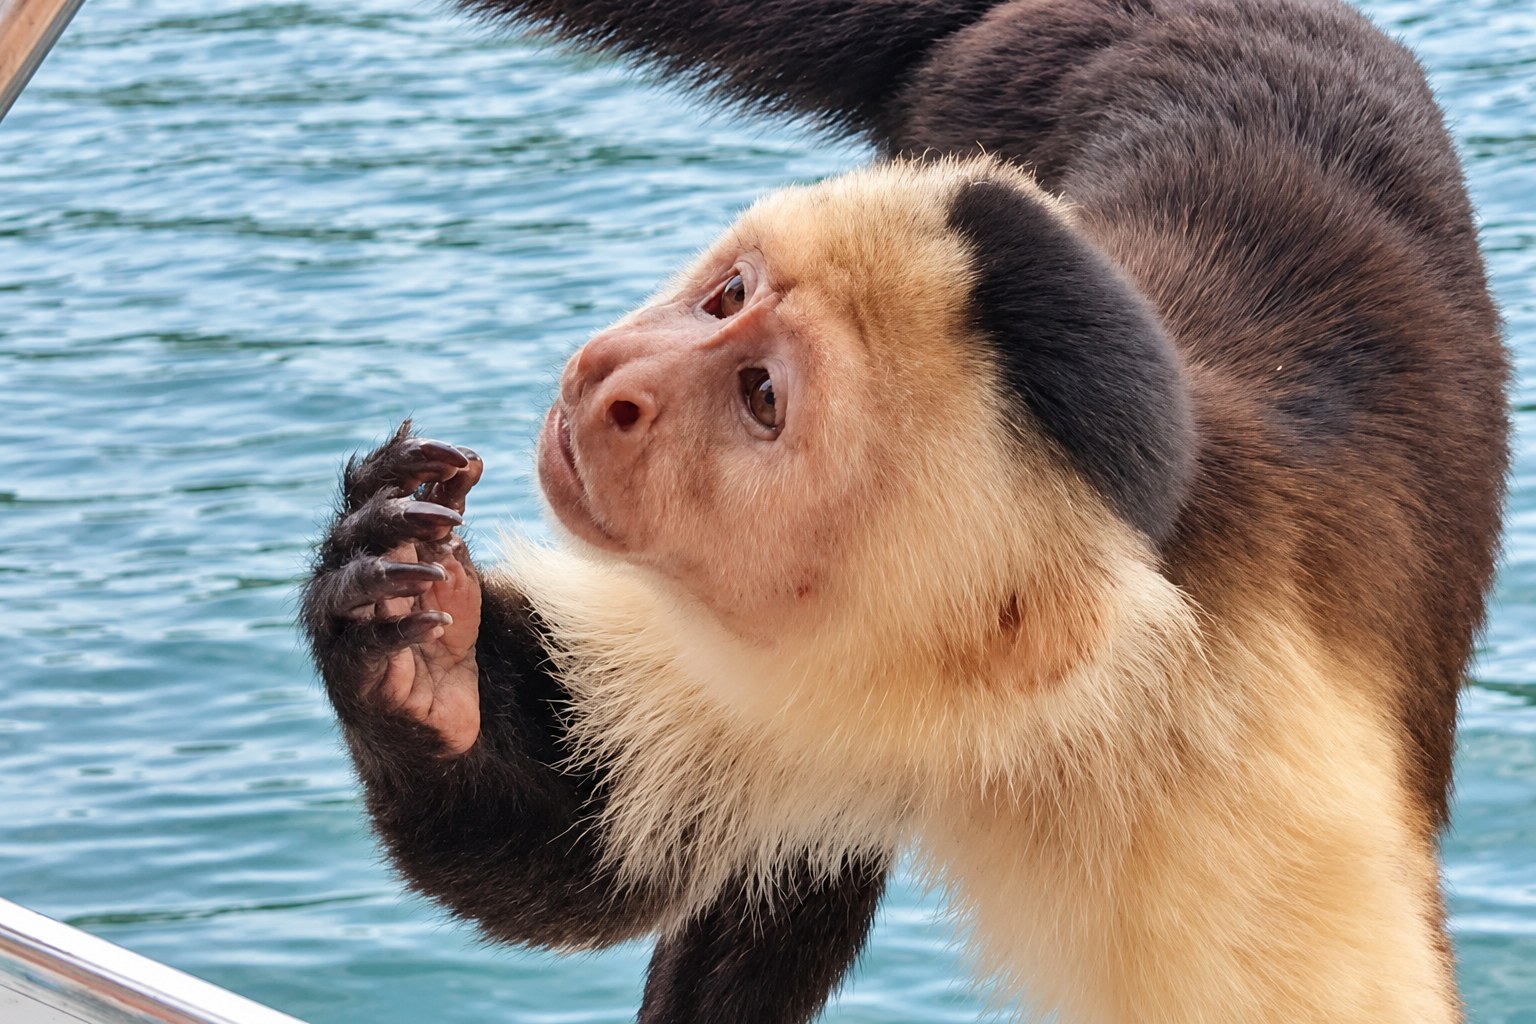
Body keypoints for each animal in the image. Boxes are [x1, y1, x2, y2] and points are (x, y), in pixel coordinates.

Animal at [300, 0, 1508, 1022]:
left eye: (762, 397)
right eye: (728, 297)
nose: (614, 380)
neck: (1027, 717)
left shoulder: (1250, 813)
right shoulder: (790, 662)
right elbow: (590, 834)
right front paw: (412, 657)